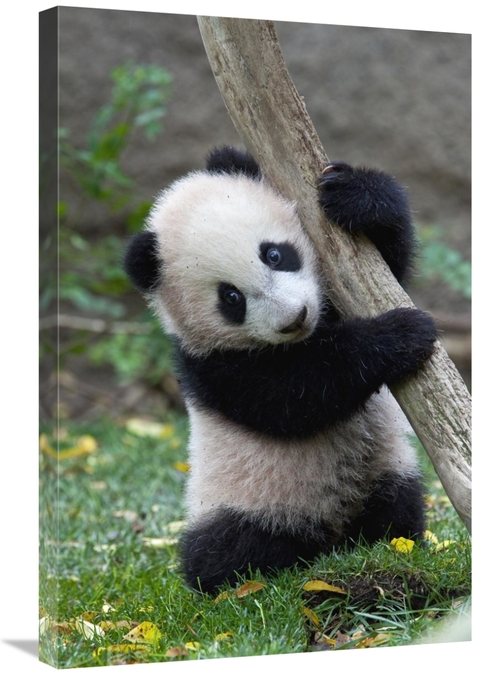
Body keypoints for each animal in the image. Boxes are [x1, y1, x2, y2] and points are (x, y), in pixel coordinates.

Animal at [124, 145, 437, 594]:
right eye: (231, 298)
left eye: (274, 254)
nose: (294, 317)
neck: (309, 334)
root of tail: (329, 535)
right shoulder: (211, 365)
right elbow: (294, 395)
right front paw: (402, 334)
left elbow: (391, 266)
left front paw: (355, 195)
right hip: (245, 499)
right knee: (226, 547)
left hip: (386, 473)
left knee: (397, 508)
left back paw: (392, 545)